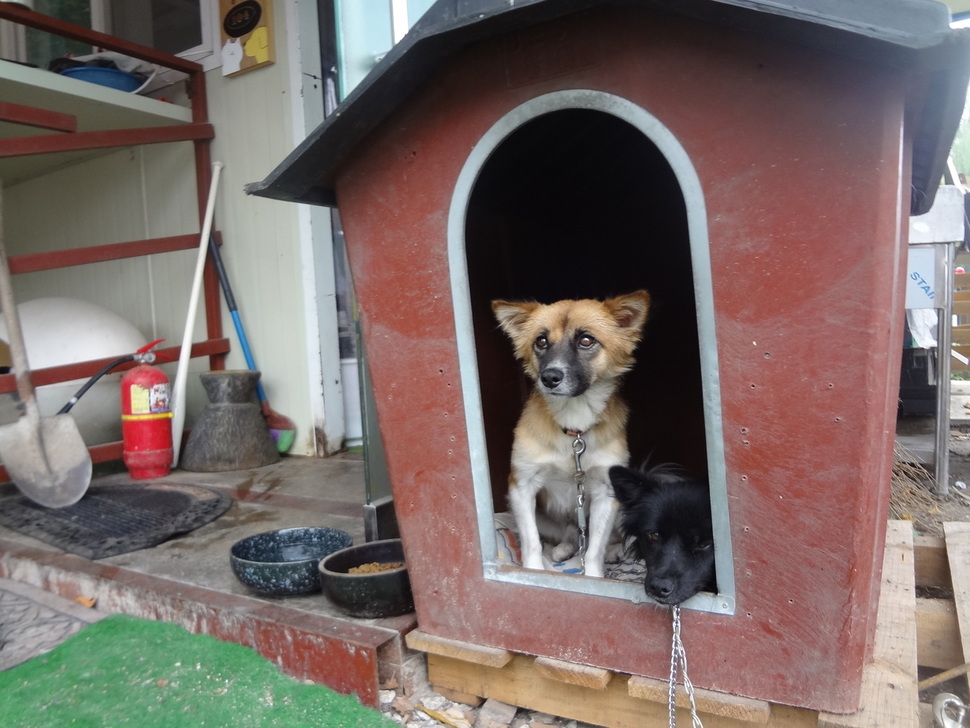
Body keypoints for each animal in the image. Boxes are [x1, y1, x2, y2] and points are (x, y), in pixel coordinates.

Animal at [492, 290, 652, 576]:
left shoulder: (605, 491)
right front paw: (535, 573)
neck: (573, 424)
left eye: (586, 340)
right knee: (570, 533)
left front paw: (594, 577)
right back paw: (564, 549)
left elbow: (594, 549)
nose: (549, 377)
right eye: (541, 341)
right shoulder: (521, 486)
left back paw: (614, 552)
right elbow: (531, 540)